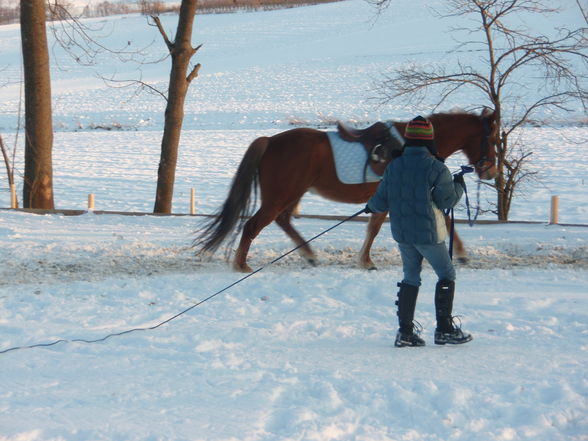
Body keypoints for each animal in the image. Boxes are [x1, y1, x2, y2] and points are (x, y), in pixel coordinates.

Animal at [194, 109, 496, 272]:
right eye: (492, 138)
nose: (490, 171)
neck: (412, 146)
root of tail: (270, 140)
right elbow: (379, 228)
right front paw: (366, 260)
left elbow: (377, 227)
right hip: (280, 196)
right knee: (254, 225)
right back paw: (241, 264)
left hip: (292, 193)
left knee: (283, 221)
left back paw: (309, 254)